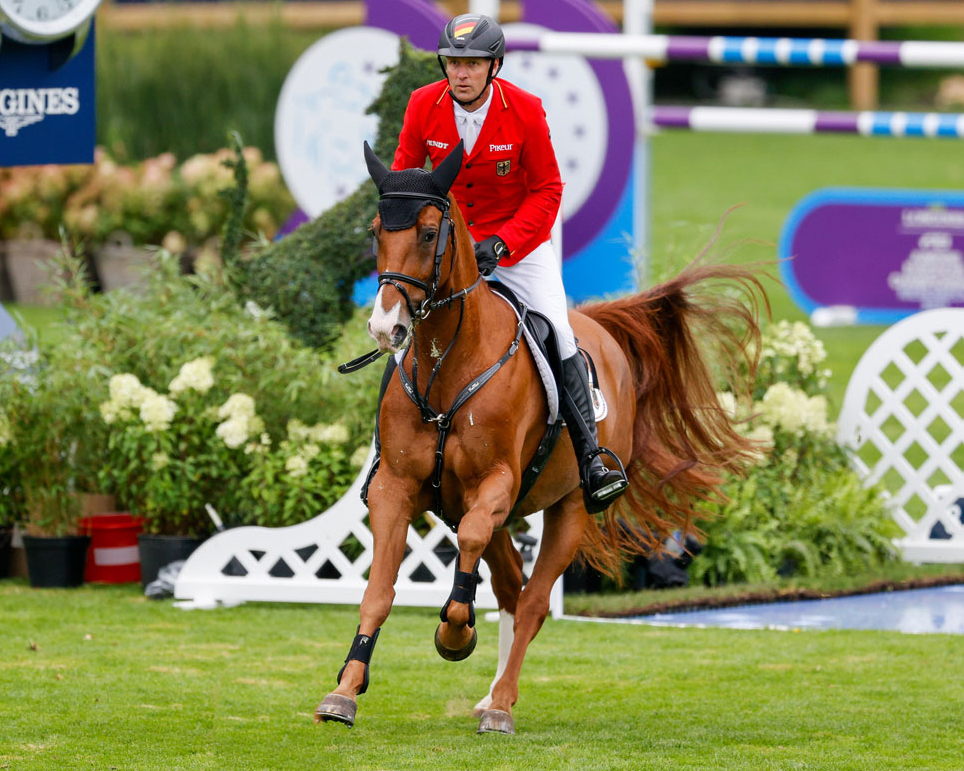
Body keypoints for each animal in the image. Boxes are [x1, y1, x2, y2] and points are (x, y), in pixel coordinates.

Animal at [316, 145, 768, 736]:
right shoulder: (396, 488)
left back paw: (500, 704)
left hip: (569, 506)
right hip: (485, 509)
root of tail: (596, 325)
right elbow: (378, 591)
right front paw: (345, 691)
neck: (447, 362)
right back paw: (490, 693)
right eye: (375, 231)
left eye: (429, 232)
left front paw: (453, 634)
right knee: (509, 587)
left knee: (530, 600)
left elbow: (478, 565)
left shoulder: (496, 484)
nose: (384, 328)